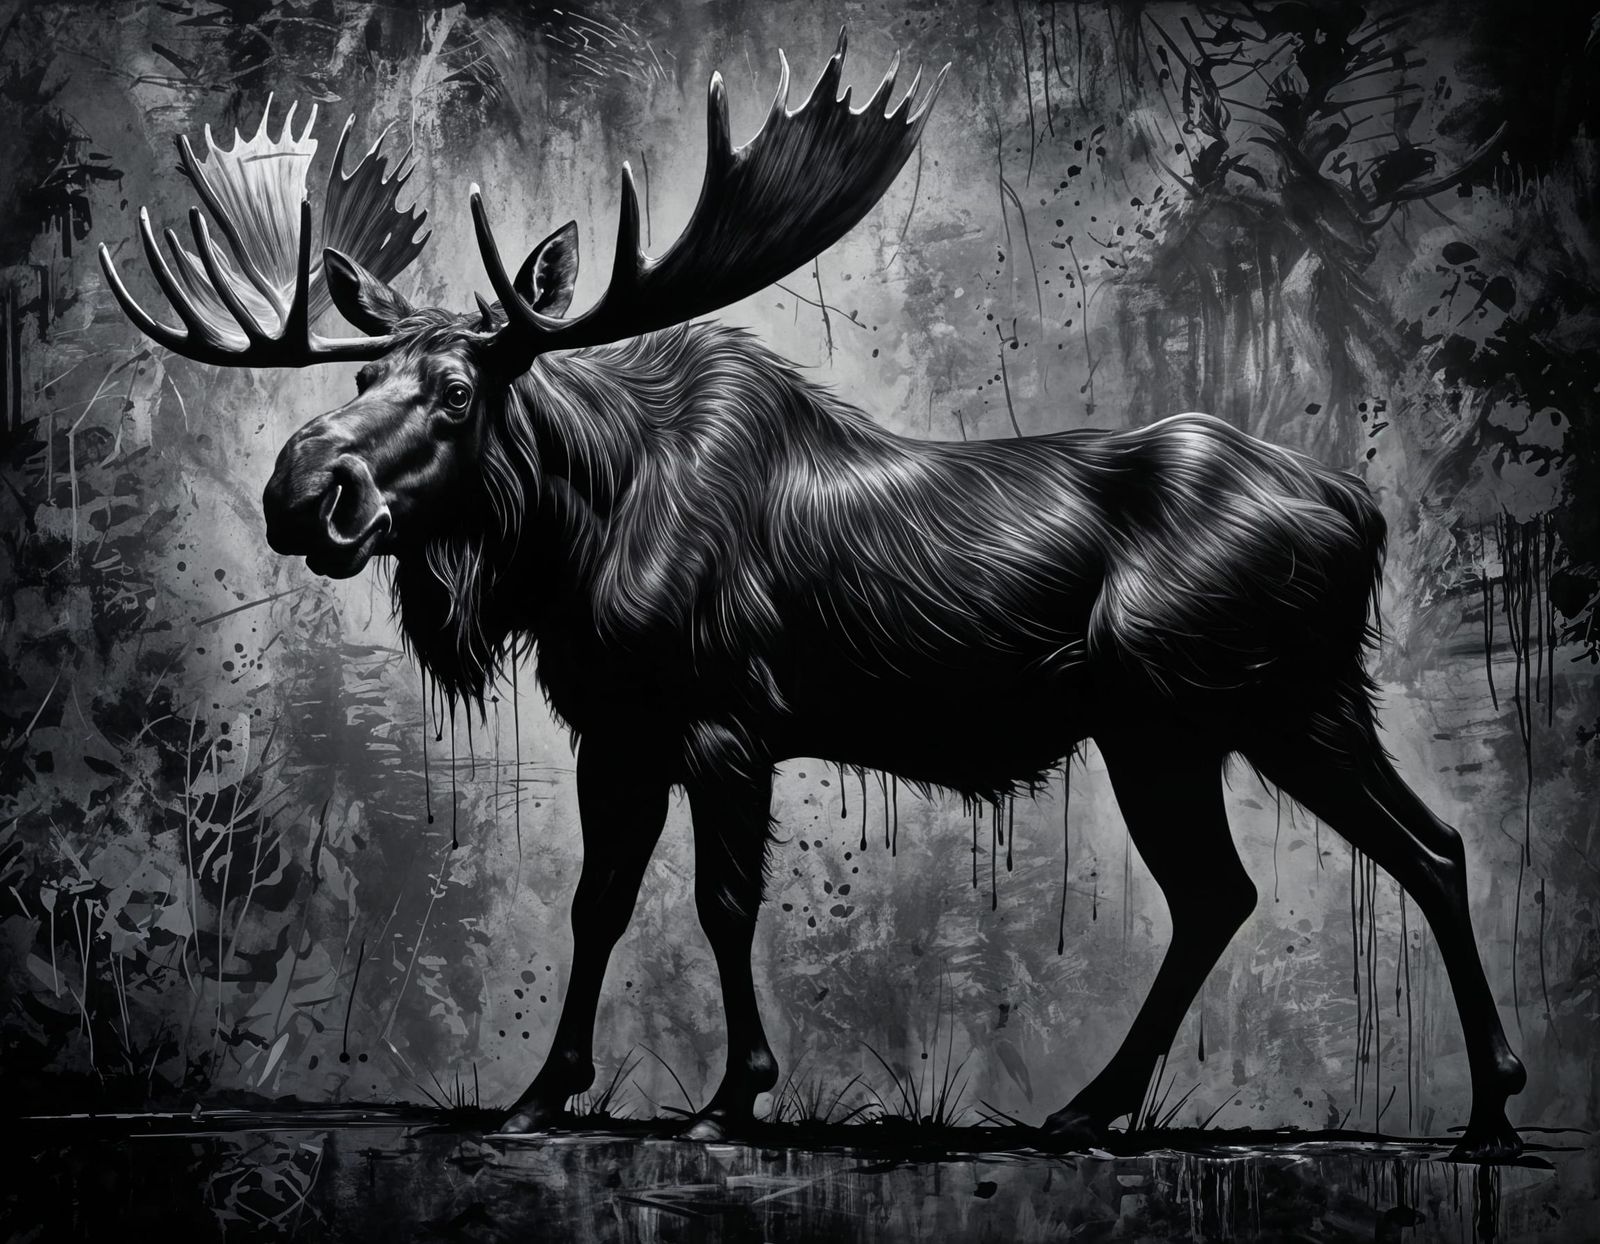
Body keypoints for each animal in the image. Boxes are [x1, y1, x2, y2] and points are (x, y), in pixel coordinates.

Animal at [100, 33, 1525, 1160]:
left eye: (456, 391)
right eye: (363, 375)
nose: (303, 489)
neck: (573, 544)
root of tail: (1365, 512)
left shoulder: (728, 720)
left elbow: (722, 905)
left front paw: (733, 1098)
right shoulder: (616, 726)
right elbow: (598, 902)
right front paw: (542, 1093)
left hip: (1228, 706)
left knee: (1369, 861)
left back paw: (1473, 1110)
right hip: (1220, 718)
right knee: (1304, 875)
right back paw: (1124, 1104)